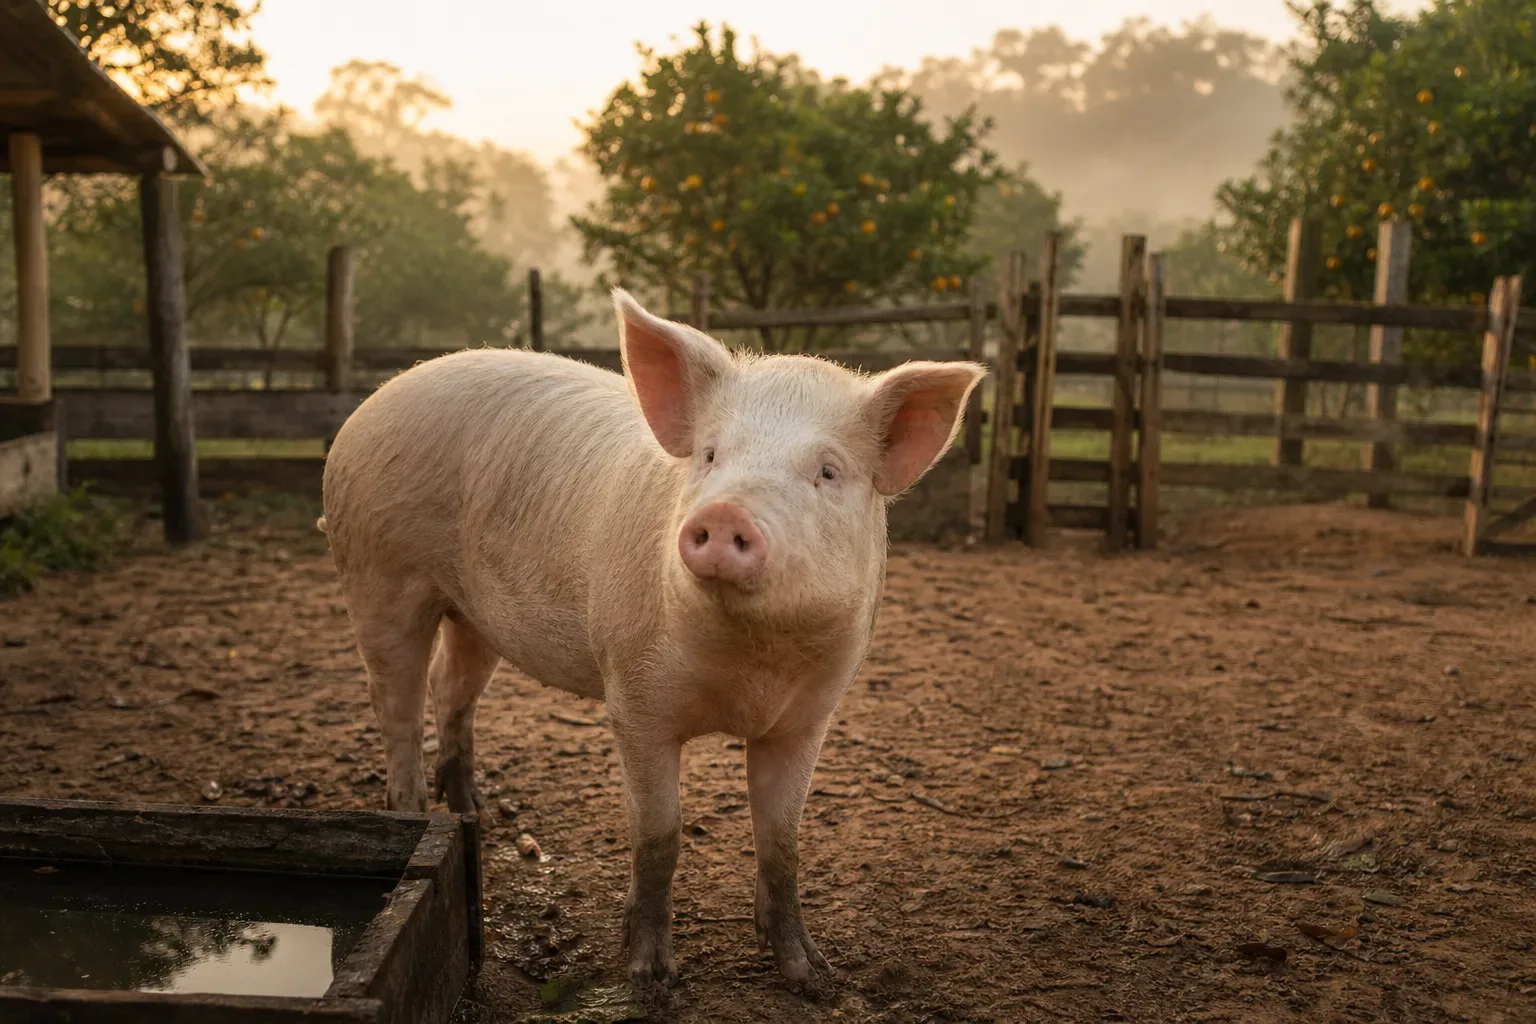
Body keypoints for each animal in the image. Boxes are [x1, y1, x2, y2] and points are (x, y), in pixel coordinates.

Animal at [319, 289, 985, 991]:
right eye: (711, 455)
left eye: (828, 471)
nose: (723, 513)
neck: (749, 670)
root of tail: (374, 401)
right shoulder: (634, 700)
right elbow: (659, 837)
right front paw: (650, 975)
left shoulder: (809, 716)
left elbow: (782, 842)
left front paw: (810, 976)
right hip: (377, 574)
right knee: (397, 707)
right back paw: (417, 815)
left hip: (474, 613)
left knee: (452, 690)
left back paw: (475, 812)